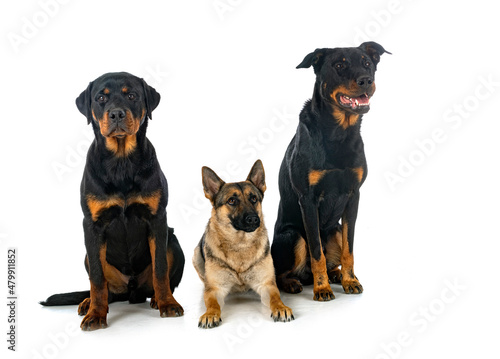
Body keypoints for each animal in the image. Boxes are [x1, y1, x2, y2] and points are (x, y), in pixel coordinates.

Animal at [41, 71, 185, 330]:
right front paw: (96, 315)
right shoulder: (92, 225)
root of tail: (131, 292)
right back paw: (88, 302)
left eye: (132, 95)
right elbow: (97, 279)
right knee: (103, 286)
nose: (116, 113)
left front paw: (168, 304)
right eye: (100, 97)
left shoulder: (157, 219)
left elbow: (160, 268)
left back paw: (157, 299)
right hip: (88, 254)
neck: (121, 162)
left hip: (174, 243)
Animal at [191, 160, 292, 330]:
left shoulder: (267, 285)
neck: (240, 245)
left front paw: (281, 307)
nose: (253, 219)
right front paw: (210, 314)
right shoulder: (215, 290)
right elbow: (212, 303)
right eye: (232, 201)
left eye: (253, 198)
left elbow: (275, 298)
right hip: (196, 255)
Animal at [270, 41, 390, 300]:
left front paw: (349, 280)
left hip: (333, 231)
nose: (366, 80)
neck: (339, 132)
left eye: (367, 63)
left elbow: (349, 248)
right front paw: (322, 288)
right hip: (292, 236)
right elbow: (317, 252)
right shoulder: (308, 199)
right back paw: (294, 283)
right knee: (281, 272)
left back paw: (336, 274)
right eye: (339, 65)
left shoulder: (353, 195)